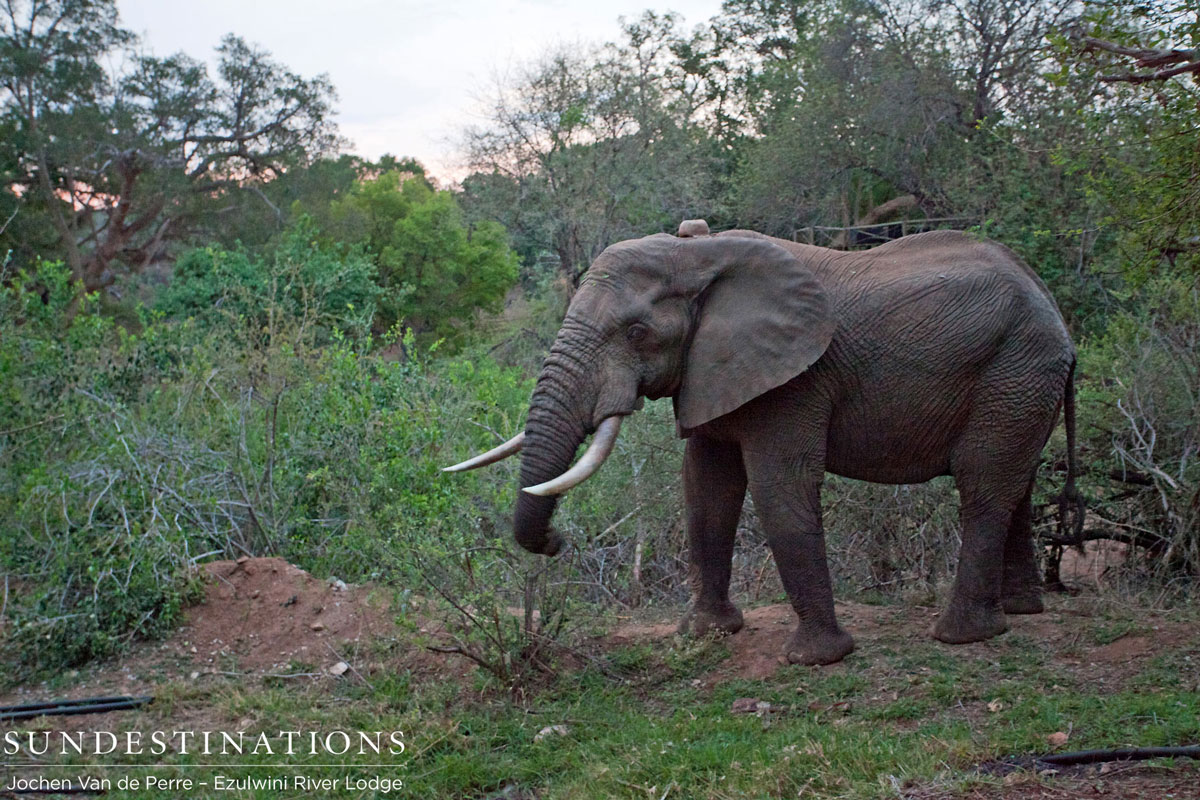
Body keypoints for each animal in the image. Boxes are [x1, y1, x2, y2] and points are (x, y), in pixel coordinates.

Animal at [446, 218, 1079, 666]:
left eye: (637, 332)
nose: (558, 541)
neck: (699, 255)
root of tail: (1054, 306)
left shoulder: (796, 379)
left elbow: (779, 488)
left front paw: (817, 660)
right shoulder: (713, 370)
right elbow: (706, 490)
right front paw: (706, 633)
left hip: (1015, 367)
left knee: (983, 482)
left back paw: (962, 636)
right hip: (1022, 379)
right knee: (1016, 484)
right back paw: (1019, 611)